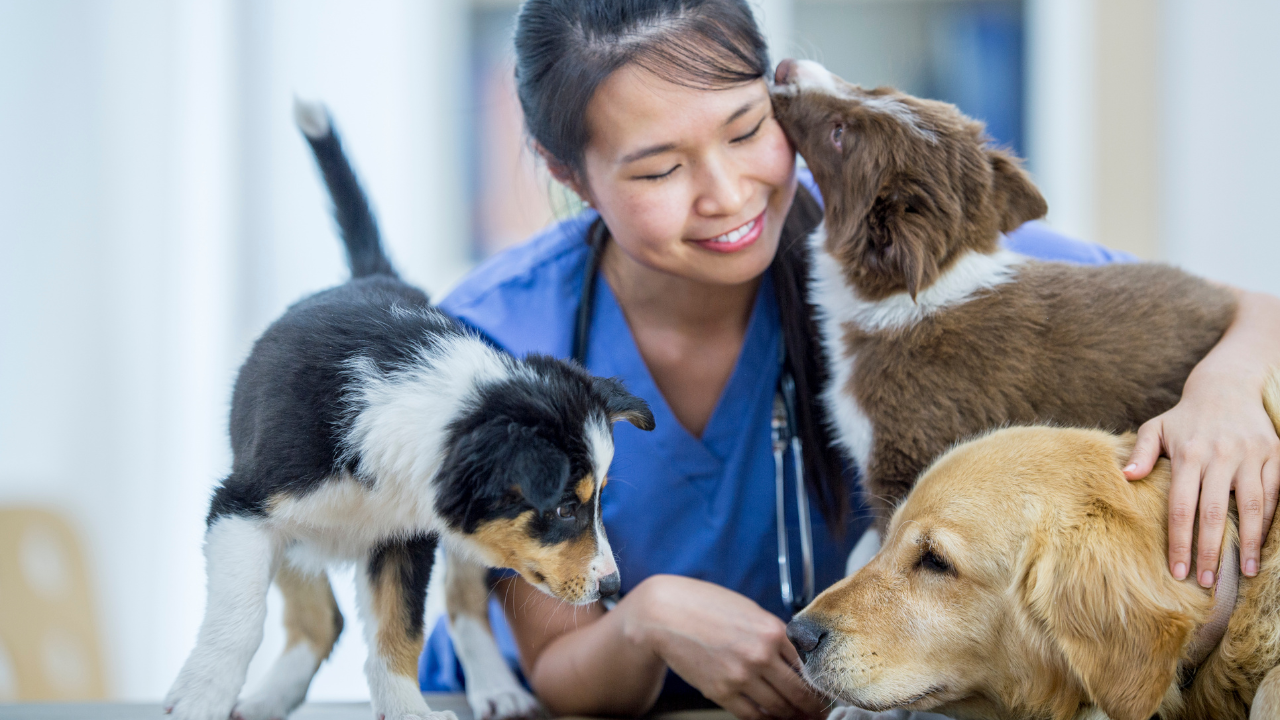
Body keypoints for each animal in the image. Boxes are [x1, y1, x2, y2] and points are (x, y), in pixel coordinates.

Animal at [162, 99, 650, 717]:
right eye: (566, 507)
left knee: (461, 607)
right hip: (289, 531)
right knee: (321, 618)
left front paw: (407, 709)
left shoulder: (404, 540)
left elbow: (399, 631)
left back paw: (498, 690)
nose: (612, 589)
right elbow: (239, 620)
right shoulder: (242, 506)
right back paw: (267, 699)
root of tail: (372, 274)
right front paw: (201, 696)